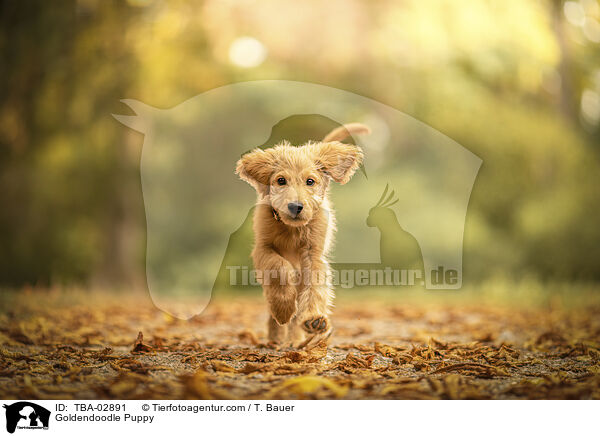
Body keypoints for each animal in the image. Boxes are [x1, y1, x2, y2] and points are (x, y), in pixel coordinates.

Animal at [236, 122, 368, 348]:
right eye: (281, 180)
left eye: (310, 181)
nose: (295, 207)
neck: (292, 229)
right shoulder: (263, 248)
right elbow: (279, 268)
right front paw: (283, 309)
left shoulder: (313, 254)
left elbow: (315, 287)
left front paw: (313, 318)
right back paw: (276, 336)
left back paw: (294, 338)